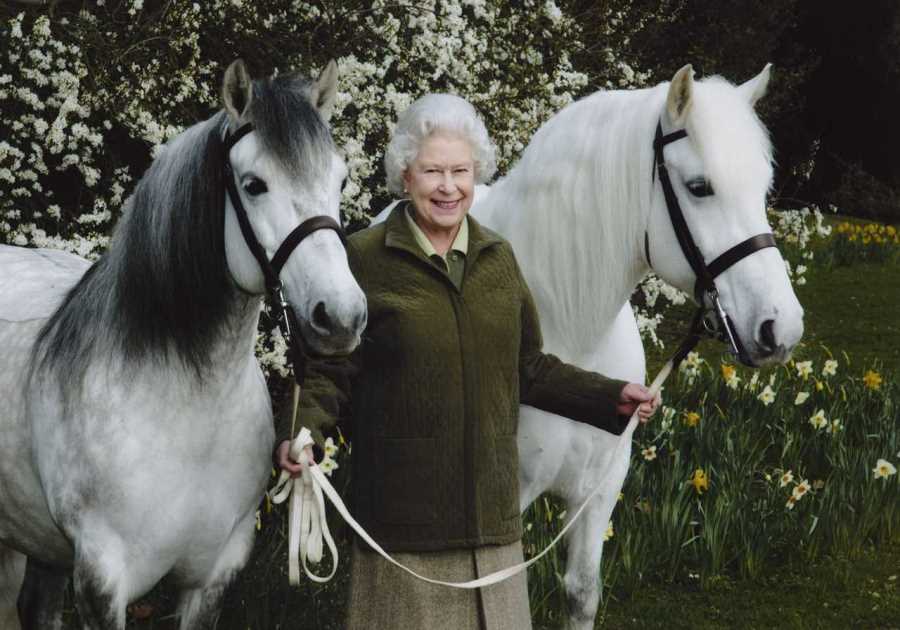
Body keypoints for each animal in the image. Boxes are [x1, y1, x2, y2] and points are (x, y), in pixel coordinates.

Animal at [0, 60, 368, 630]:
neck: (187, 407)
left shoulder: (213, 577)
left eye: (340, 178)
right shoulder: (102, 582)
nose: (341, 316)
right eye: (254, 185)